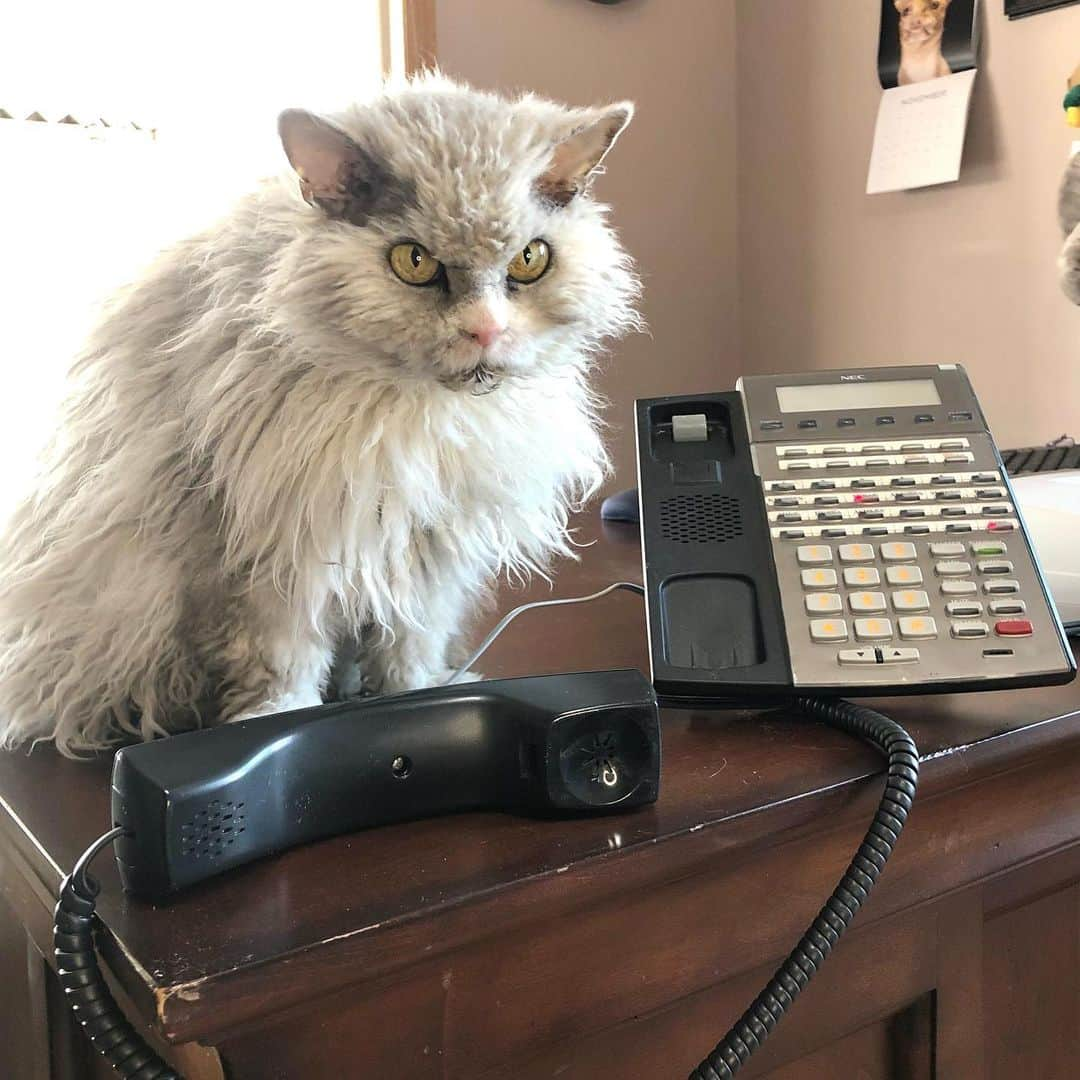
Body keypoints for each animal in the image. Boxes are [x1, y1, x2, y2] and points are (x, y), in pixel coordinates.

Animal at [0, 76, 639, 756]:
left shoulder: (429, 551)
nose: (486, 331)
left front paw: (421, 699)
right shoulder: (275, 556)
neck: (410, 418)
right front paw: (277, 722)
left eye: (529, 261)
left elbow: (410, 647)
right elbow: (284, 661)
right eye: (413, 262)